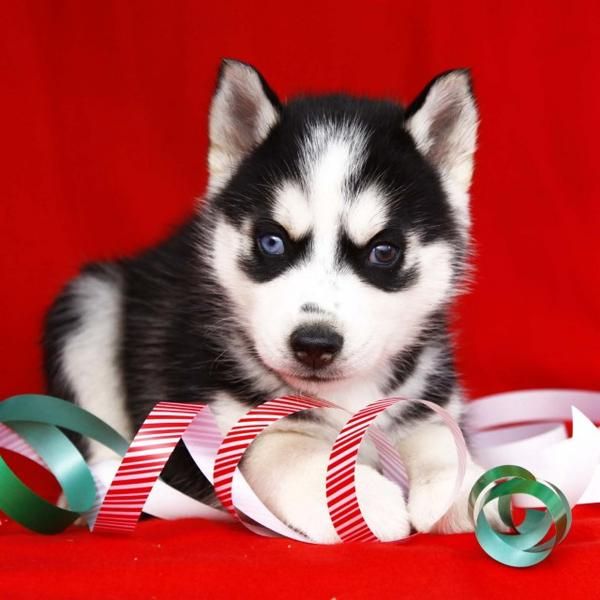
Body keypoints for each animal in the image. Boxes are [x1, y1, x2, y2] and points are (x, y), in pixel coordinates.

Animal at [45, 58, 488, 540]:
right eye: (272, 242)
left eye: (383, 251)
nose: (314, 344)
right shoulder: (228, 424)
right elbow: (291, 452)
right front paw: (357, 500)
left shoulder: (425, 396)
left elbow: (442, 437)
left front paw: (467, 486)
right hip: (91, 306)